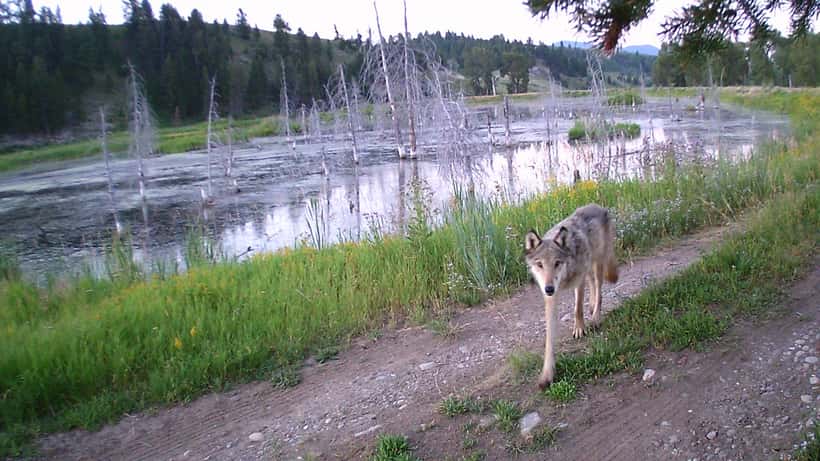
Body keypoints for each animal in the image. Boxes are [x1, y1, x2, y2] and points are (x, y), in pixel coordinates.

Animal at [524, 204, 619, 389]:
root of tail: (598, 206)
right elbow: (549, 339)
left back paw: (595, 317)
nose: (549, 288)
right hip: (589, 267)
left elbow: (577, 309)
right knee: (592, 284)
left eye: (557, 263)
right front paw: (547, 374)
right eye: (540, 264)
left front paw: (580, 329)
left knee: (598, 288)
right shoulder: (551, 299)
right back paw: (592, 306)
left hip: (597, 264)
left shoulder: (578, 282)